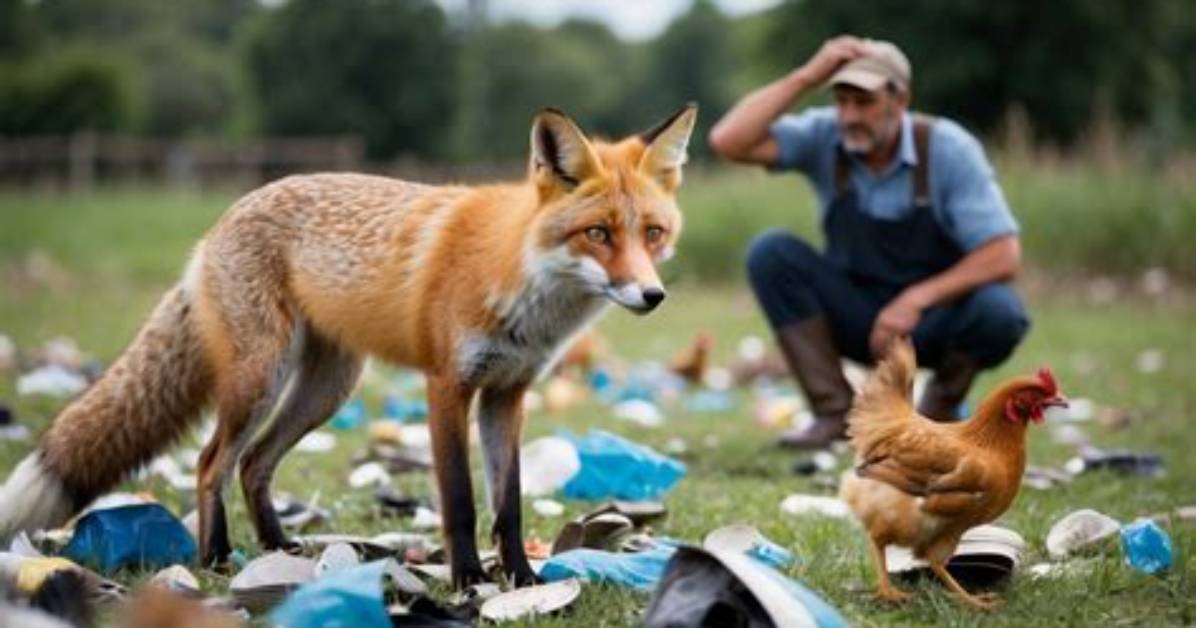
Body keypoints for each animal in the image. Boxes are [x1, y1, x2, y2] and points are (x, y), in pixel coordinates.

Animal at [0, 105, 697, 588]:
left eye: (653, 233)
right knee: (209, 462)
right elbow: (461, 501)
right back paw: (218, 559)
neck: (521, 281)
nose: (653, 294)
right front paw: (469, 580)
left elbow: (510, 504)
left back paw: (277, 550)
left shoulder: (507, 394)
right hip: (261, 379)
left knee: (254, 465)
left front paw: (522, 579)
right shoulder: (448, 386)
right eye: (598, 233)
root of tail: (222, 219)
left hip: (326, 391)